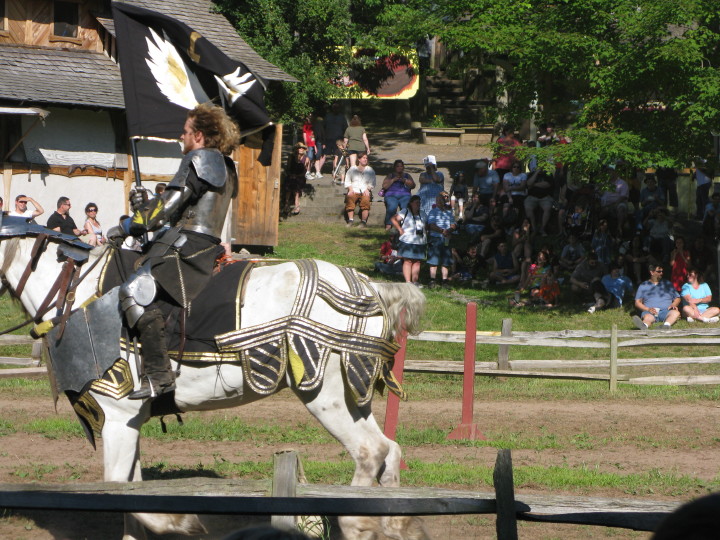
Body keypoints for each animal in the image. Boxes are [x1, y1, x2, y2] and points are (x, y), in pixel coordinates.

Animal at [0, 232, 428, 540]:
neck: (76, 298)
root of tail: (370, 287)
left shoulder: (118, 418)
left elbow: (121, 489)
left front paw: (181, 523)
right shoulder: (129, 423)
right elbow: (132, 493)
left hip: (324, 393)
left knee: (370, 451)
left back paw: (359, 525)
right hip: (351, 396)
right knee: (390, 450)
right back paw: (398, 525)